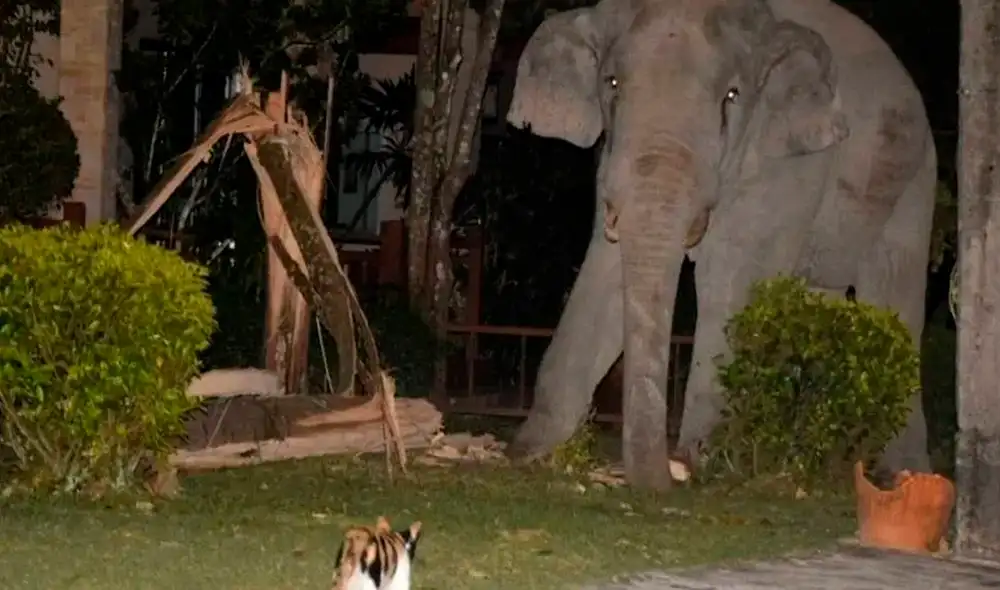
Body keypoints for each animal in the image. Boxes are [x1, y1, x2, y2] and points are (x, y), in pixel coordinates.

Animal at [505, 0, 936, 489]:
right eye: (611, 84)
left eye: (731, 96)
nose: (667, 477)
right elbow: (606, 269)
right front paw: (531, 451)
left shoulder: (786, 161)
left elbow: (728, 280)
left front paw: (703, 463)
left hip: (915, 178)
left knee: (894, 291)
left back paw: (901, 474)